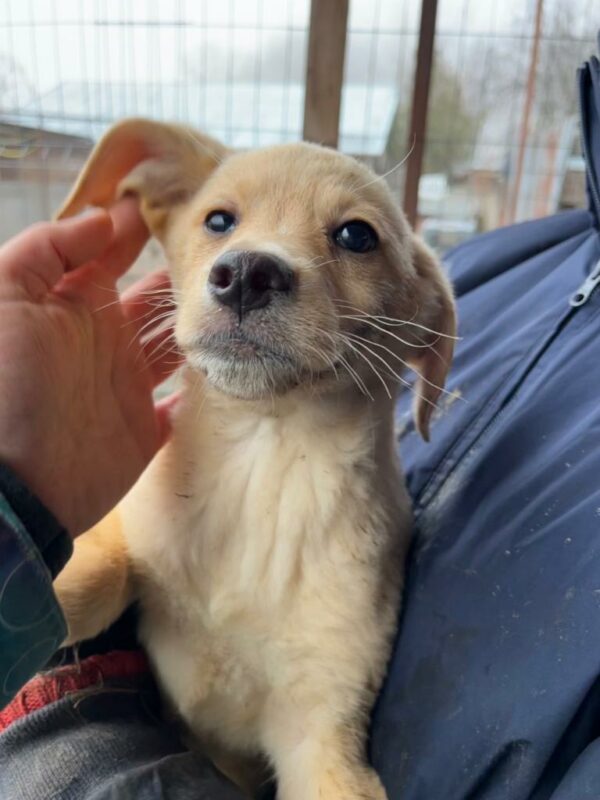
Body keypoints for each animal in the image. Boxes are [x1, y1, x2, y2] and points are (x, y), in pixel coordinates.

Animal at [53, 119, 456, 799]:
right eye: (219, 221)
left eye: (357, 235)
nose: (245, 273)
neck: (261, 467)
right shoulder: (124, 522)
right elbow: (97, 570)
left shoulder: (324, 729)